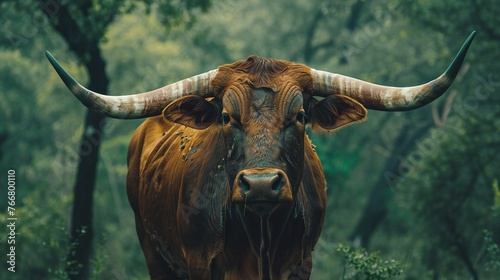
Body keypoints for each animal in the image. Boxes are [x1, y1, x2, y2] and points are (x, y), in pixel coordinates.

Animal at [45, 31, 474, 278]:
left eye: (300, 115)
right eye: (225, 116)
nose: (263, 184)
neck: (260, 238)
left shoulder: (300, 263)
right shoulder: (200, 263)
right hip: (154, 254)